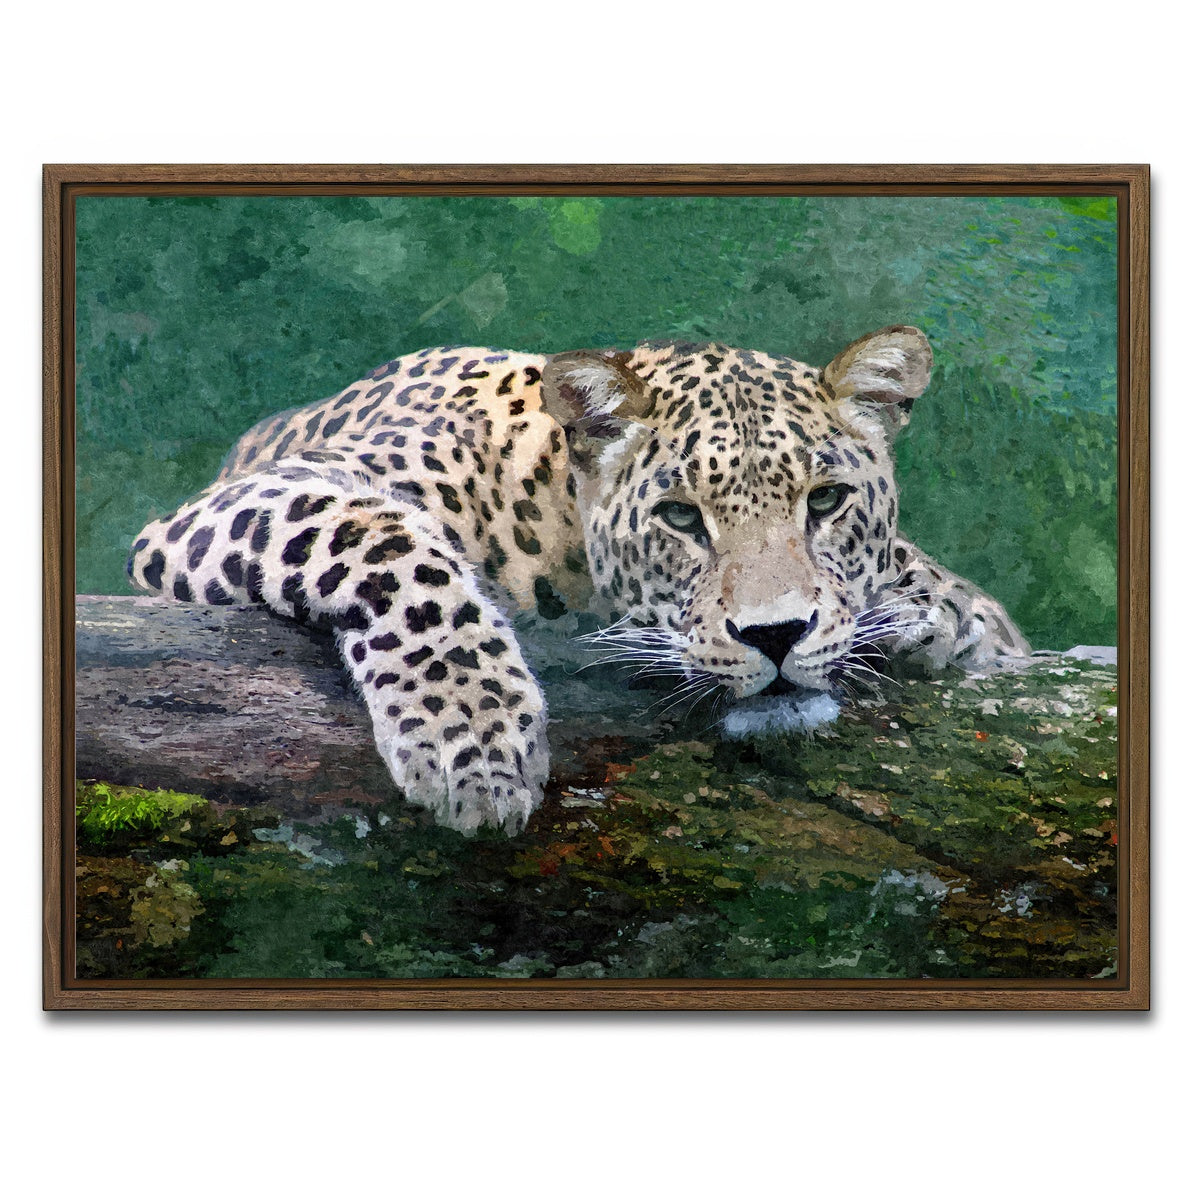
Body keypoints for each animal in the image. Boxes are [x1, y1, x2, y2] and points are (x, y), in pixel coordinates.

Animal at [128, 325, 1029, 834]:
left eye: (828, 501)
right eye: (680, 517)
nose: (775, 636)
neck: (552, 514)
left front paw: (938, 614)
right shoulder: (255, 498)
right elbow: (393, 549)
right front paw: (474, 742)